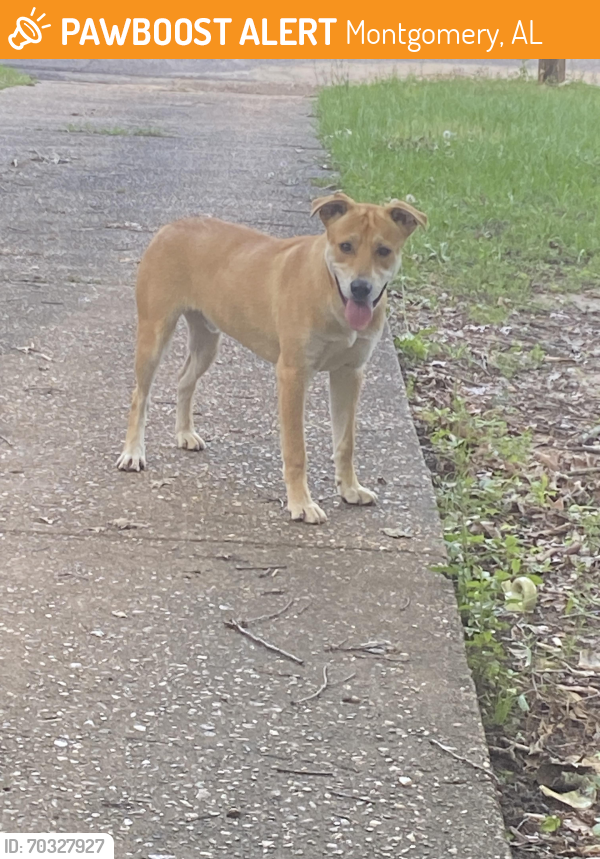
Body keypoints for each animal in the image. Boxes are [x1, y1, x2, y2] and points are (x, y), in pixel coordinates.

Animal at [117, 191, 426, 520]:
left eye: (384, 250)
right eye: (346, 246)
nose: (360, 288)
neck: (331, 292)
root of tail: (171, 226)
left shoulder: (349, 372)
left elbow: (346, 442)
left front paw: (350, 489)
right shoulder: (293, 374)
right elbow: (296, 449)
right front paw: (301, 503)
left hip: (207, 340)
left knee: (184, 380)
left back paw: (185, 433)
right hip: (154, 332)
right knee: (140, 396)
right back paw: (133, 453)